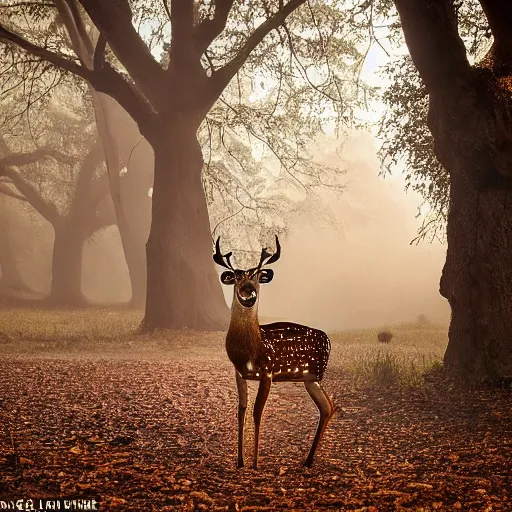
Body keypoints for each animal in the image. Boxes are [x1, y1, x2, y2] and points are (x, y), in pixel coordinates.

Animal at [213, 236, 336, 468]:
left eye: (258, 277)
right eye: (237, 277)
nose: (248, 290)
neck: (250, 350)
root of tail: (328, 339)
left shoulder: (268, 371)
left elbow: (257, 412)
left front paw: (255, 464)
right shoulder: (238, 373)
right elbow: (241, 411)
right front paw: (240, 461)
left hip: (314, 374)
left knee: (328, 406)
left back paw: (307, 460)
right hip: (310, 378)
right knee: (328, 407)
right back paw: (307, 461)